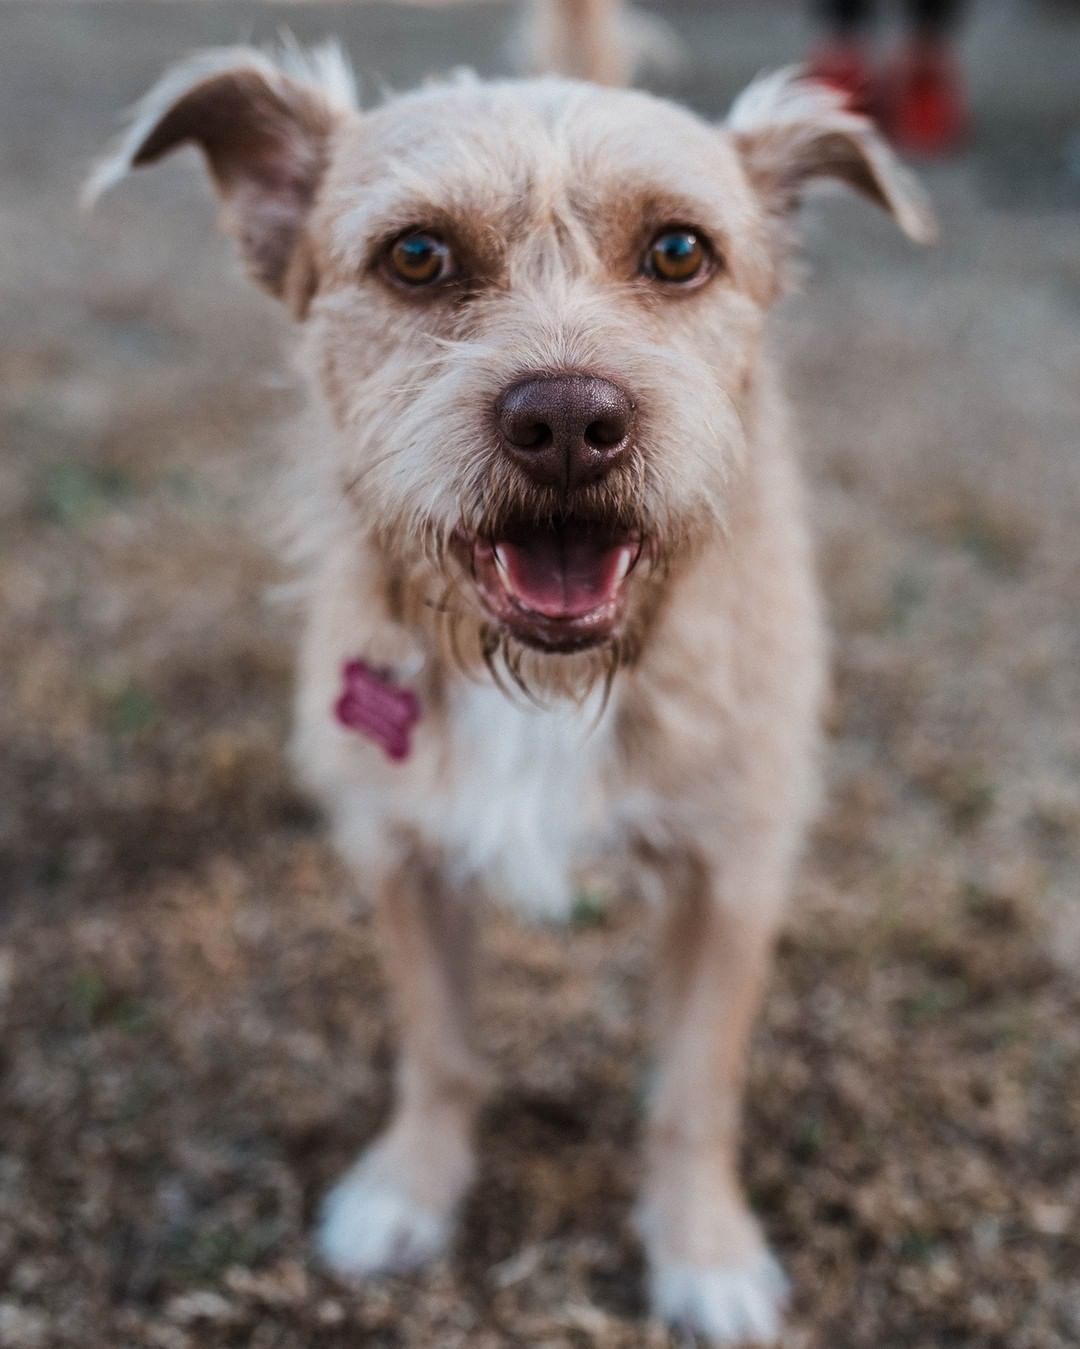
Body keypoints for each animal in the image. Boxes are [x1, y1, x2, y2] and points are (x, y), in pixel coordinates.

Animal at [88, 5, 933, 1338]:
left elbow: (696, 1084)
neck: (543, 682)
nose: (570, 421)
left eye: (679, 250)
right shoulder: (403, 851)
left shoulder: (734, 870)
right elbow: (439, 1050)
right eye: (418, 254)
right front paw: (409, 1192)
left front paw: (704, 1251)